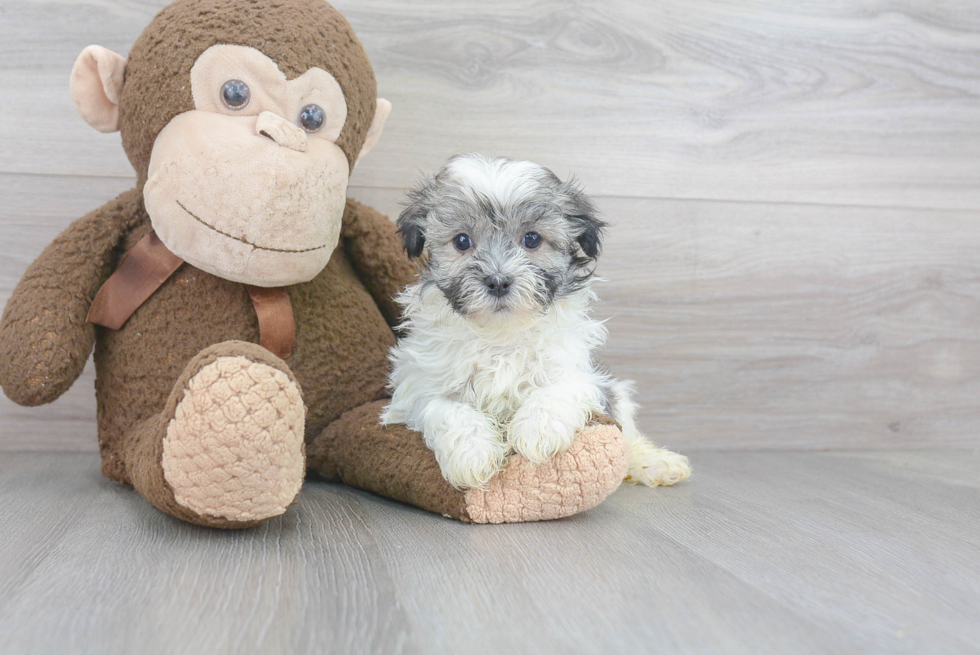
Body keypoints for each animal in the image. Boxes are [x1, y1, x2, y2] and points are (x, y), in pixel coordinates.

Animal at [378, 155, 692, 492]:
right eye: (462, 241)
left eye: (531, 239)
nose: (498, 281)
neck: (500, 335)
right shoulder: (418, 385)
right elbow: (446, 408)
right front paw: (472, 454)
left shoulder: (580, 373)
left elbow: (557, 390)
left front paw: (537, 431)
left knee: (629, 436)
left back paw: (655, 464)